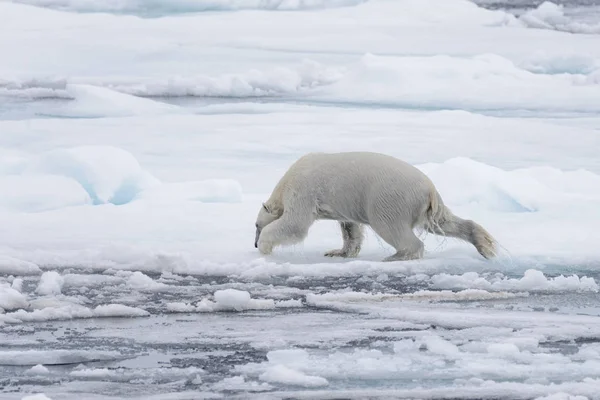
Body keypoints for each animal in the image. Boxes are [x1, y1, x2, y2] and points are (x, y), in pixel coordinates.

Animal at [253, 152, 496, 260]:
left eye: (256, 226)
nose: (254, 244)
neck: (286, 182)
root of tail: (430, 188)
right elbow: (350, 228)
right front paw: (338, 252)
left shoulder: (303, 190)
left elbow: (295, 224)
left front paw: (266, 246)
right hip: (424, 207)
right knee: (444, 222)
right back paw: (485, 245)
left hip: (389, 199)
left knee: (391, 227)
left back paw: (396, 256)